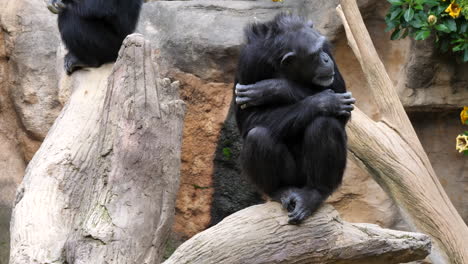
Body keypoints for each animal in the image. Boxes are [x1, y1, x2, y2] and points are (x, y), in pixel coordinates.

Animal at [232, 13, 356, 225]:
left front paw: (274, 88)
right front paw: (324, 101)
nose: (325, 59)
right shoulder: (249, 61)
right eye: (314, 55)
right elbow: (249, 119)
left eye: (321, 50)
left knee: (325, 124)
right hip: (291, 178)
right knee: (258, 136)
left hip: (307, 179)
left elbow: (341, 99)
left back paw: (314, 194)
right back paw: (282, 191)